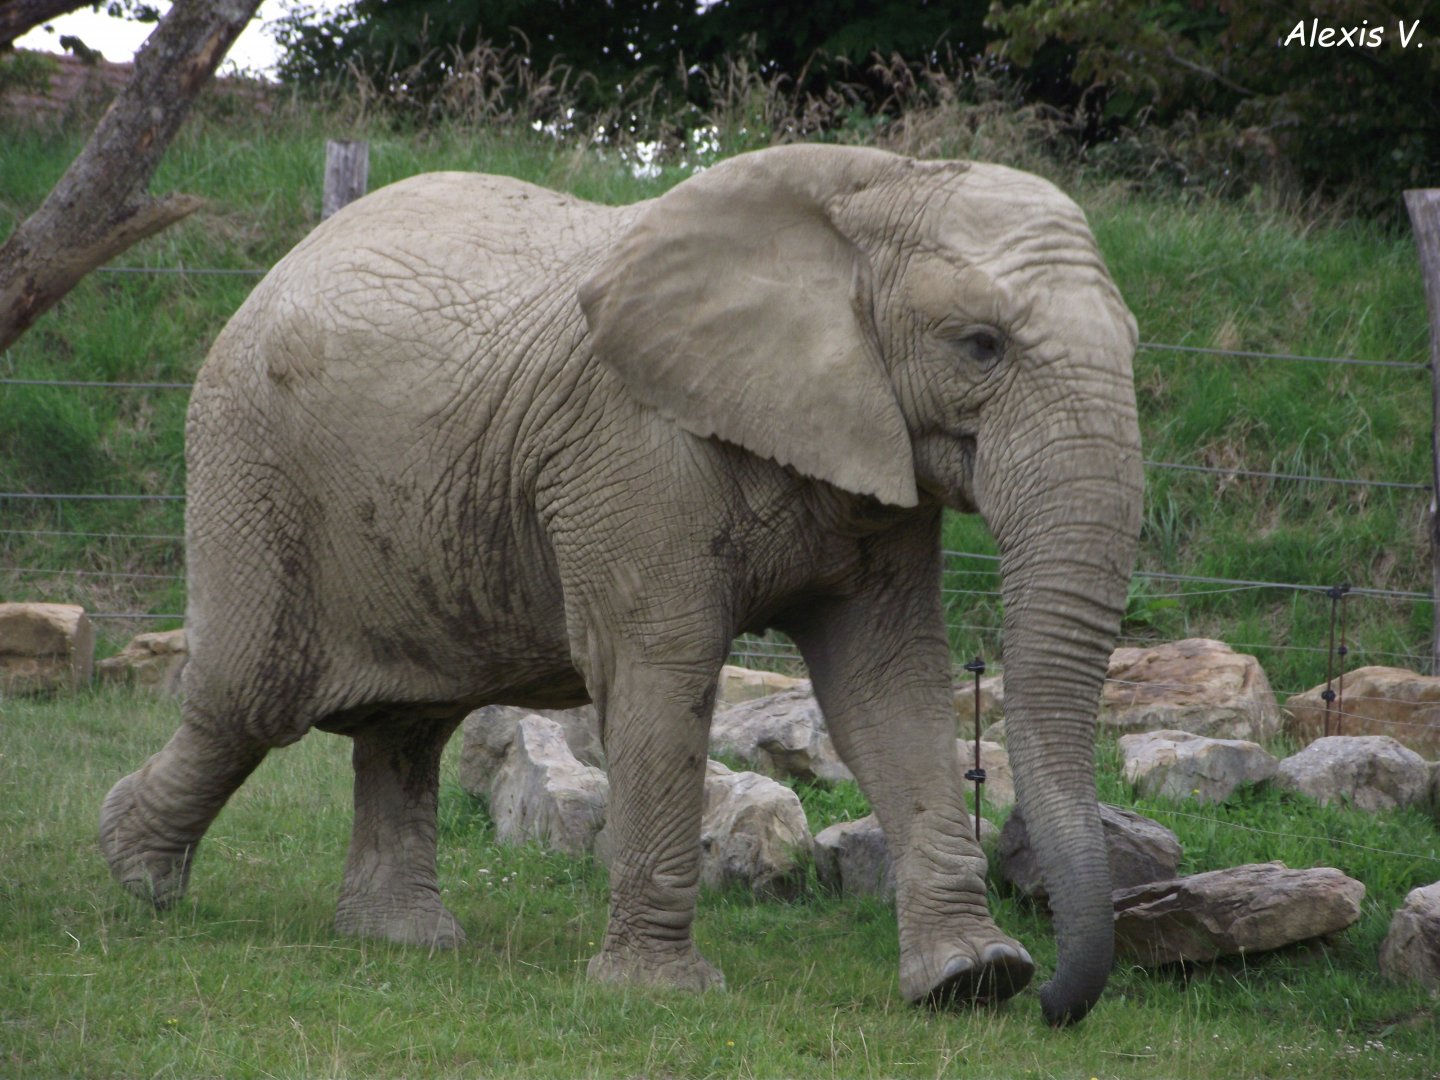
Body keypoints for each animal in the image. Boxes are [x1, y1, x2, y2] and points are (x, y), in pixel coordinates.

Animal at [99, 143, 1142, 1026]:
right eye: (981, 345)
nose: (1055, 1002)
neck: (874, 183)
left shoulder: (876, 460)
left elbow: (889, 688)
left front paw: (972, 981)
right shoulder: (633, 446)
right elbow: (661, 670)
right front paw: (658, 994)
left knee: (408, 723)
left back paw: (403, 942)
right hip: (252, 462)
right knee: (248, 700)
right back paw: (132, 876)